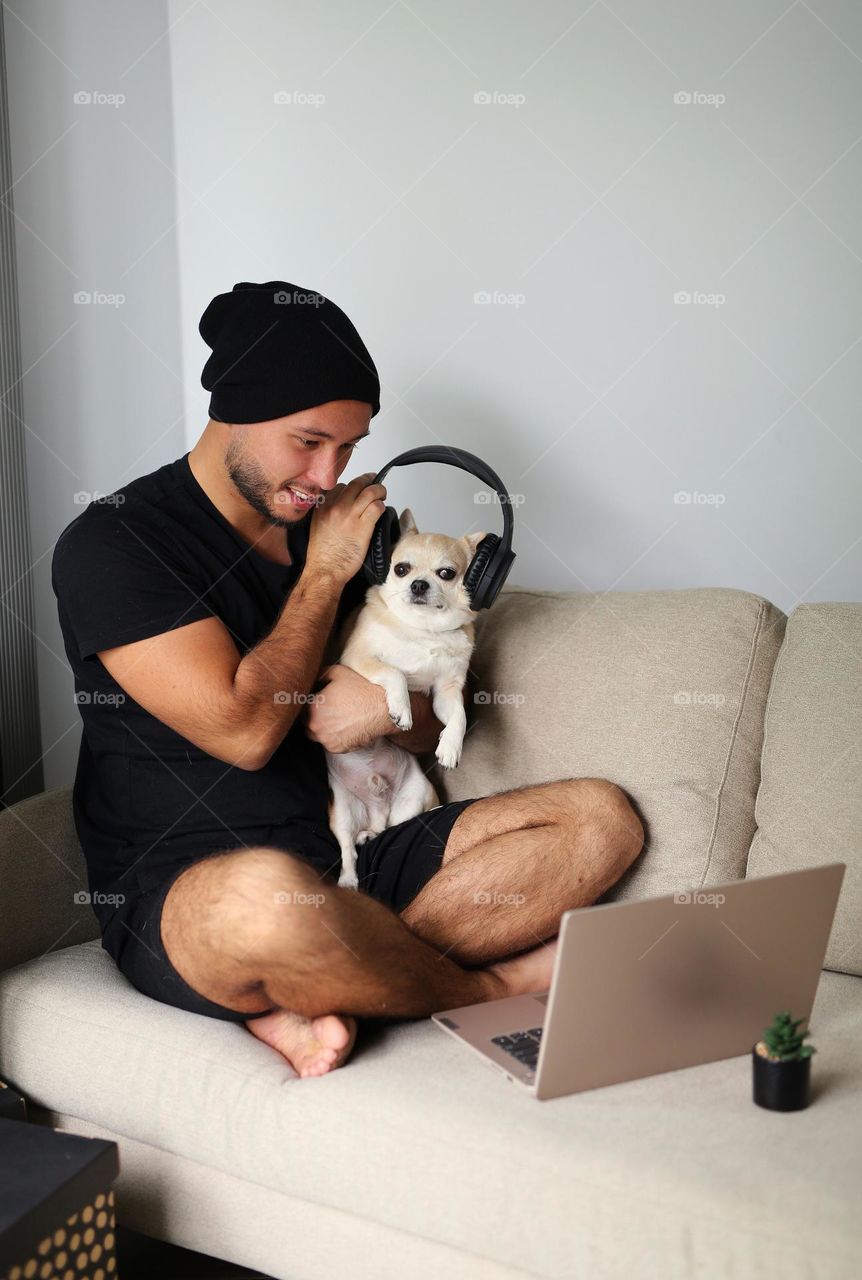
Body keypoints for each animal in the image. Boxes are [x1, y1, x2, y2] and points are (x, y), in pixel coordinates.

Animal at [324, 509, 484, 890]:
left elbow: (458, 717)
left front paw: (450, 747)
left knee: (393, 827)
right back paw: (349, 879)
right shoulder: (357, 660)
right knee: (348, 849)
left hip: (413, 799)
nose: (419, 584)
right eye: (401, 569)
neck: (422, 629)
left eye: (446, 573)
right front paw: (401, 710)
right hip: (342, 813)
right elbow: (394, 673)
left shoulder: (446, 692)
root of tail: (377, 811)